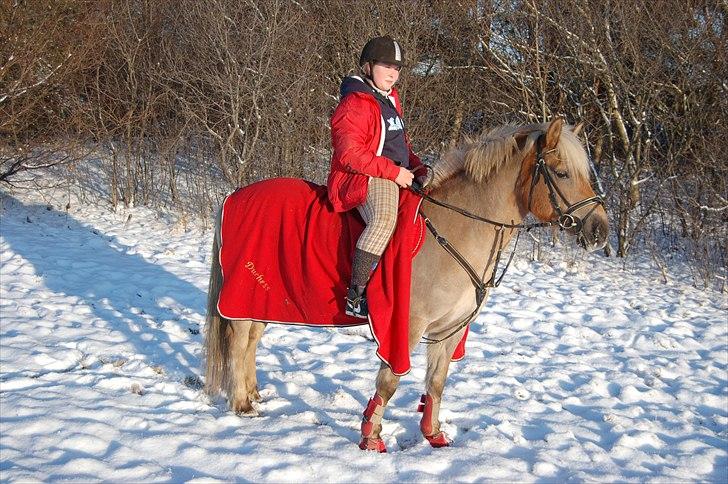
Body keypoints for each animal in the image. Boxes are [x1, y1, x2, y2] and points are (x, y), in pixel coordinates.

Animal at [203, 119, 608, 452]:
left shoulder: (450, 329)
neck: (456, 229)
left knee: (251, 340)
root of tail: (233, 197)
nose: (600, 231)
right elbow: (389, 382)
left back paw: (253, 394)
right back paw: (242, 404)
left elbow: (437, 382)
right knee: (239, 340)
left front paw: (434, 435)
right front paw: (371, 439)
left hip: (261, 296)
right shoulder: (405, 327)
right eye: (562, 173)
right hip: (245, 293)